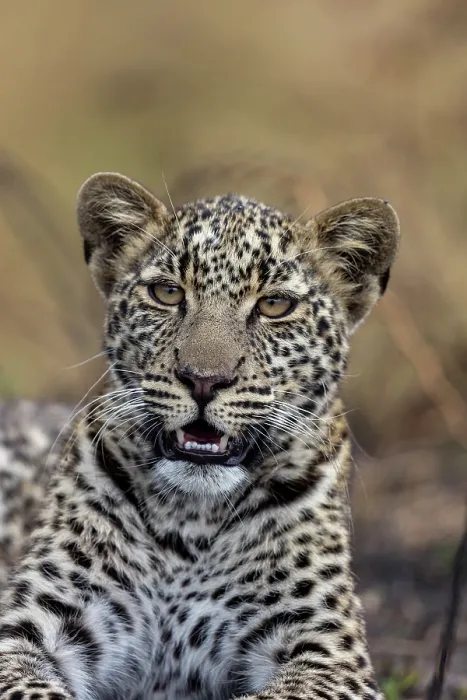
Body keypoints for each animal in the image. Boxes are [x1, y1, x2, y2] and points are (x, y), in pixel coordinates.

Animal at [0, 171, 400, 700]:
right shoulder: (27, 629)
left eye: (274, 305)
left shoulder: (327, 654)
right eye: (168, 293)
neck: (190, 522)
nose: (204, 380)